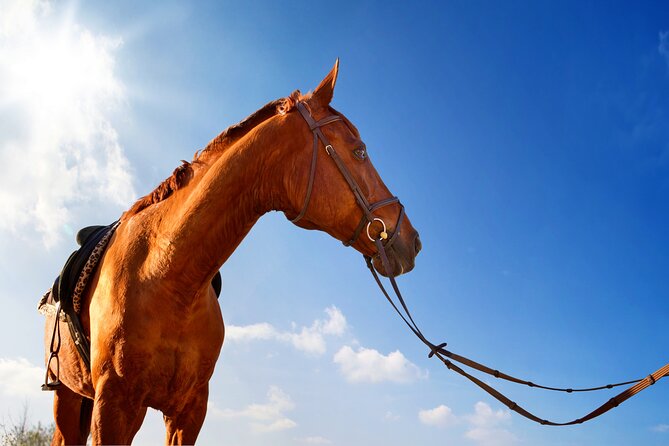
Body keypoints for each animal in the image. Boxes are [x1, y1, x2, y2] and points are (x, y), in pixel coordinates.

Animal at [41, 60, 418, 446]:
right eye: (360, 151)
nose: (411, 238)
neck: (166, 276)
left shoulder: (188, 411)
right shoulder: (114, 406)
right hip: (68, 399)